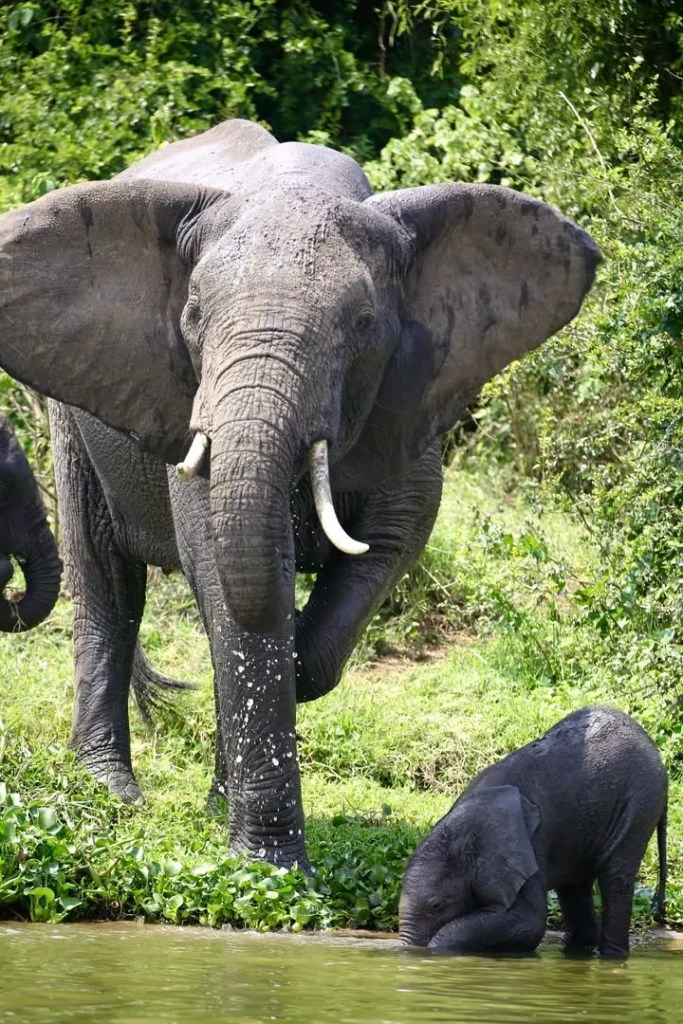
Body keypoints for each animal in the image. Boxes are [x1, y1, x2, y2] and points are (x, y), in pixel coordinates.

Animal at [399, 706, 668, 958]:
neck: (464, 821)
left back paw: (611, 956)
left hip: (641, 799)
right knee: (575, 887)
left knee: (615, 875)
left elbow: (529, 921)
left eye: (436, 906)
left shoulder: (527, 844)